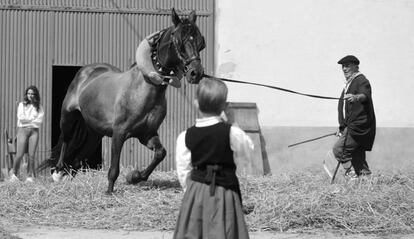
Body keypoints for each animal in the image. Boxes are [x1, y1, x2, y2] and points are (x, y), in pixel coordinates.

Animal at [40, 8, 205, 193]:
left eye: (200, 42)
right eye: (179, 41)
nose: (196, 73)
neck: (143, 88)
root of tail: (87, 71)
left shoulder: (147, 134)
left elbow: (160, 153)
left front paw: (135, 177)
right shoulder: (119, 133)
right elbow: (114, 168)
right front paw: (109, 191)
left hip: (95, 134)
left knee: (78, 157)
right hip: (67, 116)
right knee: (66, 140)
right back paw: (58, 172)